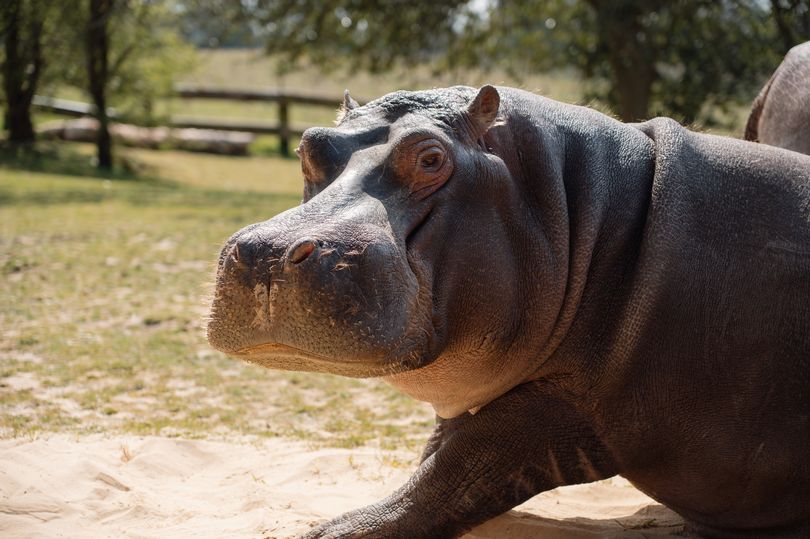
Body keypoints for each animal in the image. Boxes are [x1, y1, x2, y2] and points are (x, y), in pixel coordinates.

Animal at [207, 85, 810, 538]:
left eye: (431, 157)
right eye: (309, 147)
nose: (266, 253)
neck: (579, 211)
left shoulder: (568, 406)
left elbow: (458, 464)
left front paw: (335, 530)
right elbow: (441, 449)